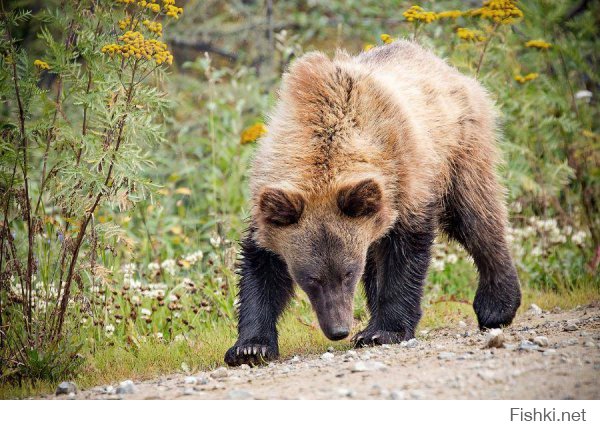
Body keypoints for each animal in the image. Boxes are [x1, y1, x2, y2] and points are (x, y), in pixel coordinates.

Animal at [225, 40, 520, 366]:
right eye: (311, 278)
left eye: (348, 272)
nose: (338, 329)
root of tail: (447, 68)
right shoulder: (271, 205)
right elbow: (262, 268)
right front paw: (250, 347)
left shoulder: (404, 181)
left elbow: (404, 257)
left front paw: (386, 331)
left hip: (460, 148)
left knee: (476, 217)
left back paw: (496, 306)